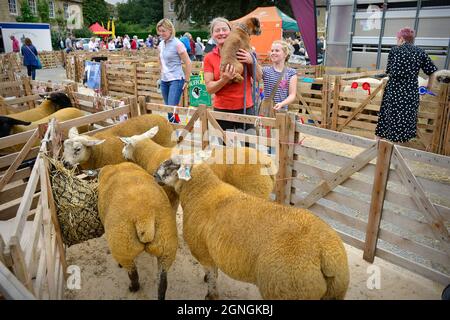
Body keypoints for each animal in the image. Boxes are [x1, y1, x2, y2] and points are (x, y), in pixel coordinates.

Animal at [98, 162, 178, 300]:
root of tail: (144, 217)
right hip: (167, 248)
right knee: (162, 283)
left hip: (122, 247)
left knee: (133, 273)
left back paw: (133, 287)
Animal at [153, 152, 350, 300]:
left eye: (171, 164)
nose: (154, 174)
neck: (202, 192)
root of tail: (326, 252)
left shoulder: (203, 251)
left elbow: (212, 277)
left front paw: (210, 295)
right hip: (334, 290)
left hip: (286, 288)